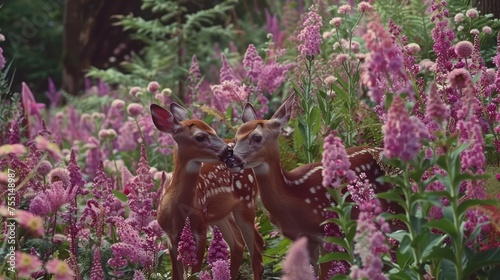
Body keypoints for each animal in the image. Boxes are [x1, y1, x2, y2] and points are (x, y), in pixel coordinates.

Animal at [149, 103, 264, 280]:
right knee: (238, 244)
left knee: (256, 254)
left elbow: (194, 272)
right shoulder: (170, 236)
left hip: (246, 201)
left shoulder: (200, 228)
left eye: (214, 131)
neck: (177, 209)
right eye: (200, 137)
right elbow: (177, 275)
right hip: (220, 214)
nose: (228, 151)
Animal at [223, 95, 402, 278]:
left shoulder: (327, 231)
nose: (231, 160)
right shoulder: (303, 237)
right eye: (236, 138)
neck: (294, 194)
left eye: (257, 137)